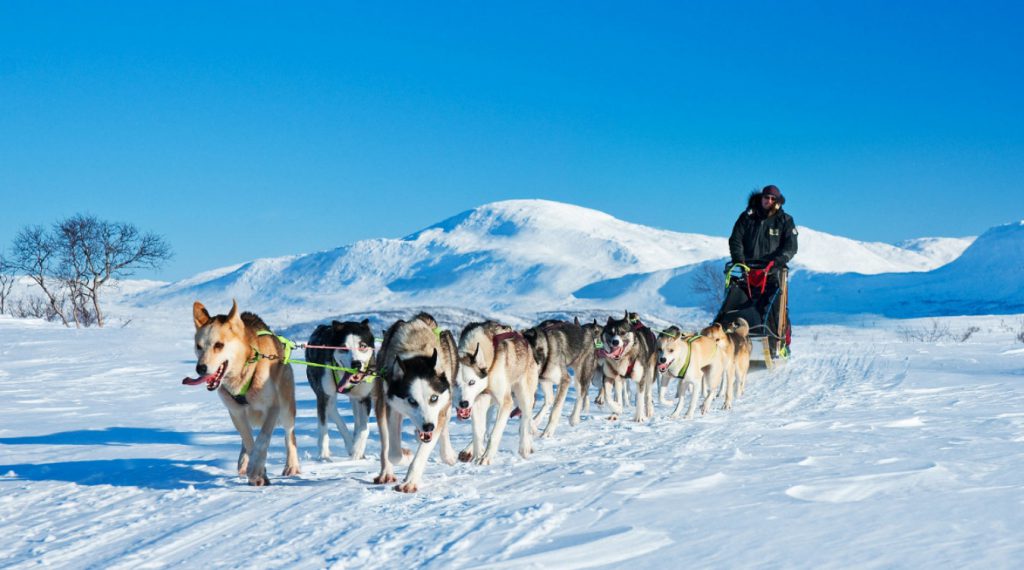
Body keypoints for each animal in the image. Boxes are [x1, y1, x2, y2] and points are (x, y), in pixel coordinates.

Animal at [187, 302, 299, 485]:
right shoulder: (236, 412)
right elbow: (249, 440)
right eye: (199, 346)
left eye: (219, 345)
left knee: (290, 435)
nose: (200, 368)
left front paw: (256, 468)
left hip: (286, 407)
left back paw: (292, 466)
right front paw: (258, 472)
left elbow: (262, 440)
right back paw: (243, 461)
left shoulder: (273, 408)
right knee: (246, 437)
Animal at [309, 317, 382, 460]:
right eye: (343, 347)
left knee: (356, 420)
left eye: (362, 346)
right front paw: (323, 454)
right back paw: (349, 444)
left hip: (355, 400)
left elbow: (364, 428)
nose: (356, 363)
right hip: (326, 396)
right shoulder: (323, 396)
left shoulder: (365, 398)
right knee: (334, 413)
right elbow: (323, 427)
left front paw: (358, 449)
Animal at [374, 313, 458, 491]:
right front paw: (406, 456)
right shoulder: (392, 407)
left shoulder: (441, 407)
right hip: (380, 402)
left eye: (433, 398)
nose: (428, 427)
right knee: (385, 445)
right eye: (412, 400)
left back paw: (447, 454)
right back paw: (386, 472)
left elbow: (424, 450)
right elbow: (393, 453)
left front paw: (410, 481)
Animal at [454, 319, 540, 462]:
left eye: (472, 382)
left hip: (523, 395)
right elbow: (478, 432)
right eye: (455, 384)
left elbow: (495, 433)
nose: (463, 403)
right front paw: (478, 453)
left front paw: (486, 457)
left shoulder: (505, 402)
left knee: (525, 418)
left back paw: (525, 446)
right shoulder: (478, 401)